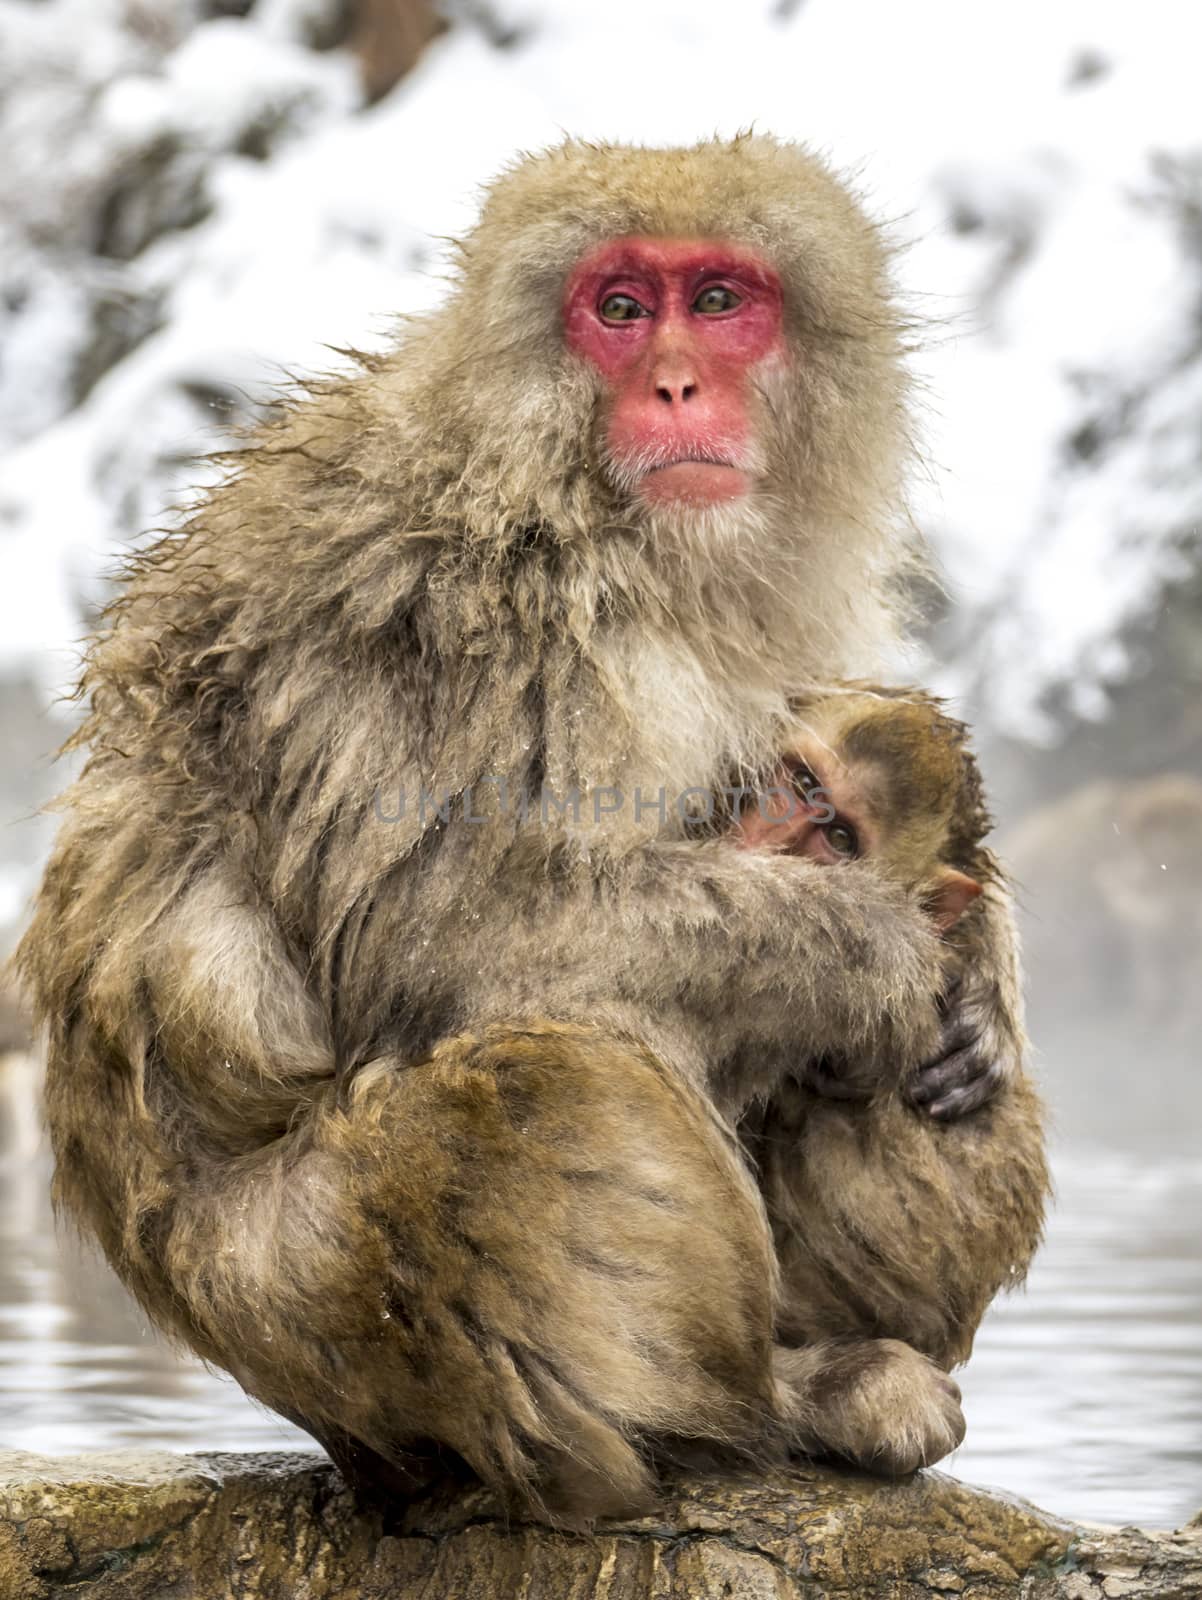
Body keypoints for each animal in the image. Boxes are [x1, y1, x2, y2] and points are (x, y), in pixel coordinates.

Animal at [16, 140, 1043, 1523]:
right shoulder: (444, 611)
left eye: (718, 299)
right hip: (315, 1315)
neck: (577, 511)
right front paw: (872, 952)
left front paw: (974, 968)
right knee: (545, 1083)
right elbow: (449, 938)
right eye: (617, 309)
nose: (672, 380)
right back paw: (767, 1408)